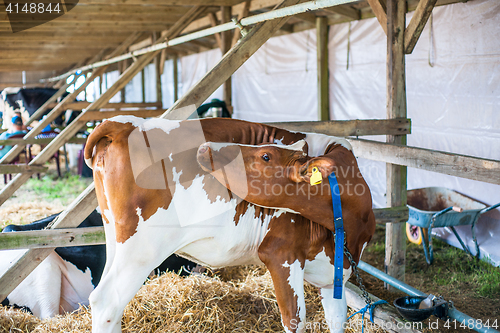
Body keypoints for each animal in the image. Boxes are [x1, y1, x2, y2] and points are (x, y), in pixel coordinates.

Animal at [85, 115, 376, 332]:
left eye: (266, 155)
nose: (206, 147)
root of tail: (125, 123)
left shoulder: (335, 274)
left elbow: (336, 319)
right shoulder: (281, 253)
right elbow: (294, 320)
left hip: (116, 236)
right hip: (143, 247)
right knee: (107, 302)